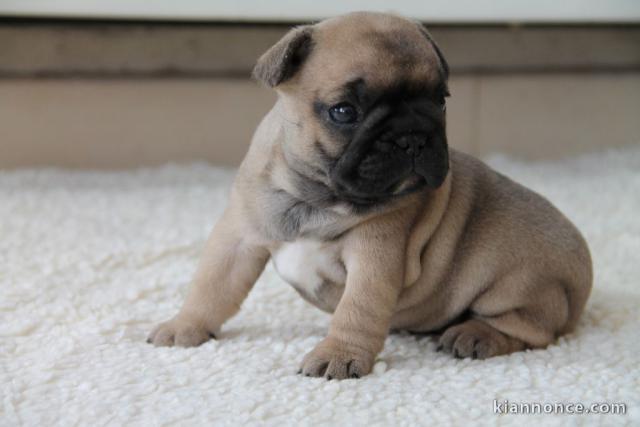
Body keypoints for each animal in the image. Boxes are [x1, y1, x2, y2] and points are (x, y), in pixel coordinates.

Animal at [148, 11, 592, 382]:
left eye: (439, 100)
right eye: (344, 111)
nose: (412, 136)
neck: (316, 196)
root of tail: (581, 279)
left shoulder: (375, 256)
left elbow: (357, 309)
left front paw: (338, 355)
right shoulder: (239, 236)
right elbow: (211, 286)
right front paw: (184, 327)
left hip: (519, 287)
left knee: (532, 330)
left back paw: (475, 335)